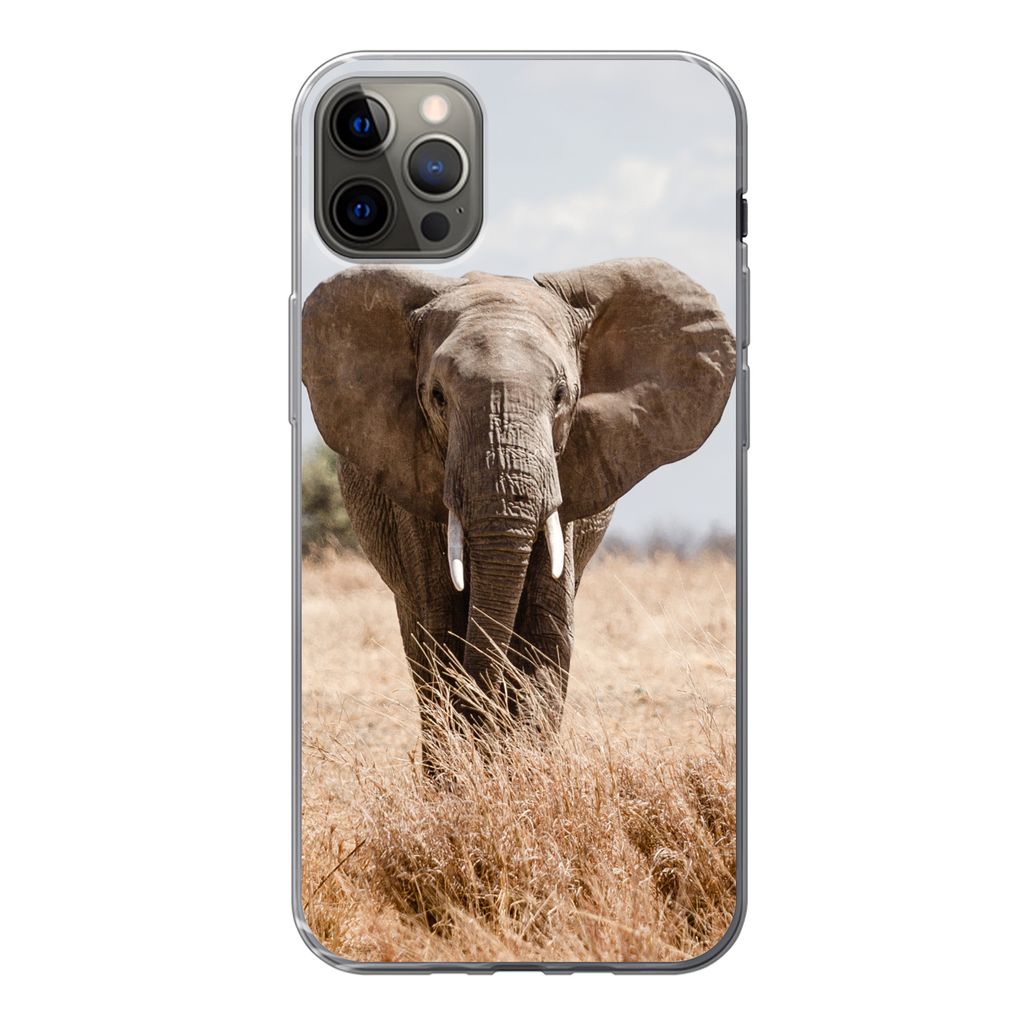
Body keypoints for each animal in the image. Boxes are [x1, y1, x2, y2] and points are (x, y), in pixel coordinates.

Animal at [302, 258, 735, 774]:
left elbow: (545, 634)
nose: (482, 721)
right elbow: (442, 626)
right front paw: (465, 779)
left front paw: (522, 774)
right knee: (419, 638)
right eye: (437, 396)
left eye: (561, 395)